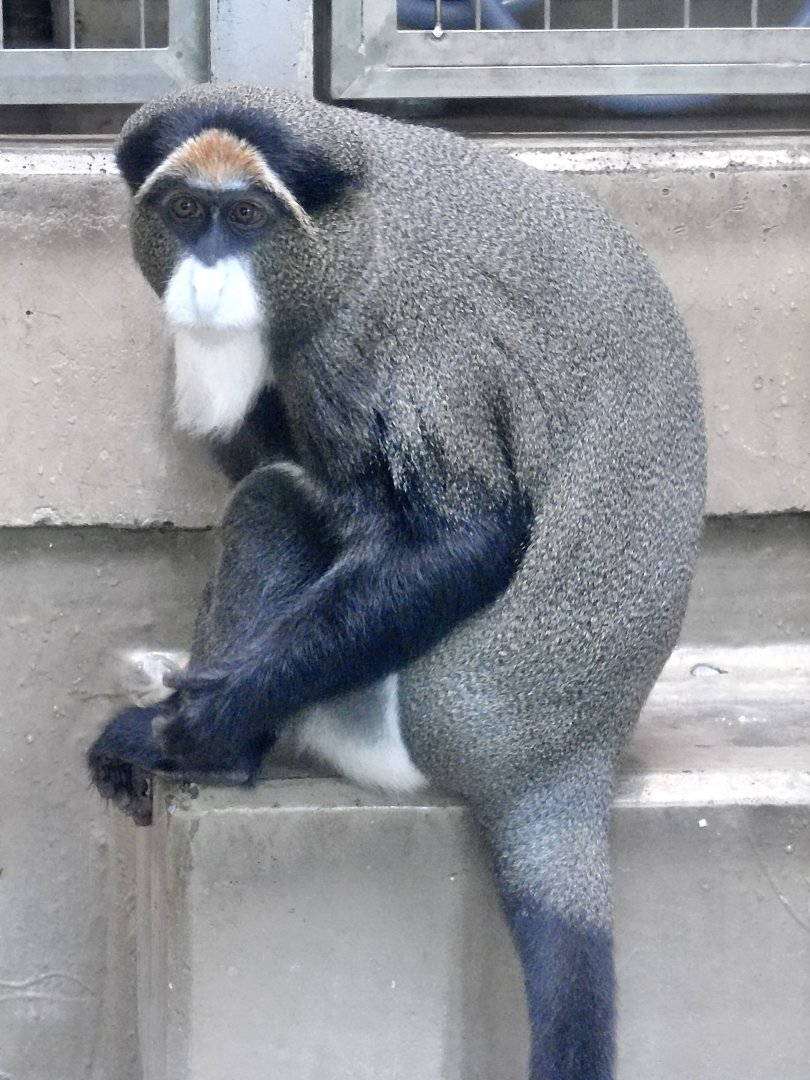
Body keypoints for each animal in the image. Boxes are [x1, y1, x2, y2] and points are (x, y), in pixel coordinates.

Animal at [86, 82, 705, 1080]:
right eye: (184, 211)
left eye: (246, 218)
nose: (207, 278)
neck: (354, 226)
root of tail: (561, 765)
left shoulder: (389, 342)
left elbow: (465, 538)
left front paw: (204, 721)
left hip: (379, 723)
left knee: (274, 503)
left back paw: (212, 752)